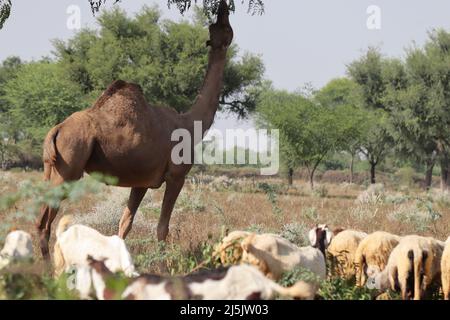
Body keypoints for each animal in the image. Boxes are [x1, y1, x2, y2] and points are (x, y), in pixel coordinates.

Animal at [36, 0, 234, 258]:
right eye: (225, 29)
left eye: (217, 28)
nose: (223, 9)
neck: (191, 124)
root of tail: (57, 130)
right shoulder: (176, 175)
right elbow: (162, 227)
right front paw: (163, 263)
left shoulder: (142, 182)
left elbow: (125, 223)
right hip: (69, 166)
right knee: (44, 223)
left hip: (50, 167)